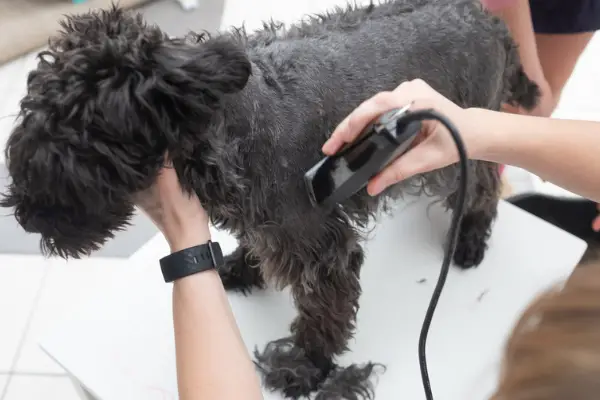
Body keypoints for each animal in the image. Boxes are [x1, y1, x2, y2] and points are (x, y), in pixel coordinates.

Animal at [1, 1, 540, 398]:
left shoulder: (322, 245)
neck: (229, 126)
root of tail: (491, 23)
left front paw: (306, 367)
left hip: (453, 145)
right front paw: (240, 266)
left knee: (485, 183)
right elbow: (257, 246)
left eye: (81, 135)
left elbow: (323, 310)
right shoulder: (268, 223)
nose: (25, 217)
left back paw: (469, 238)